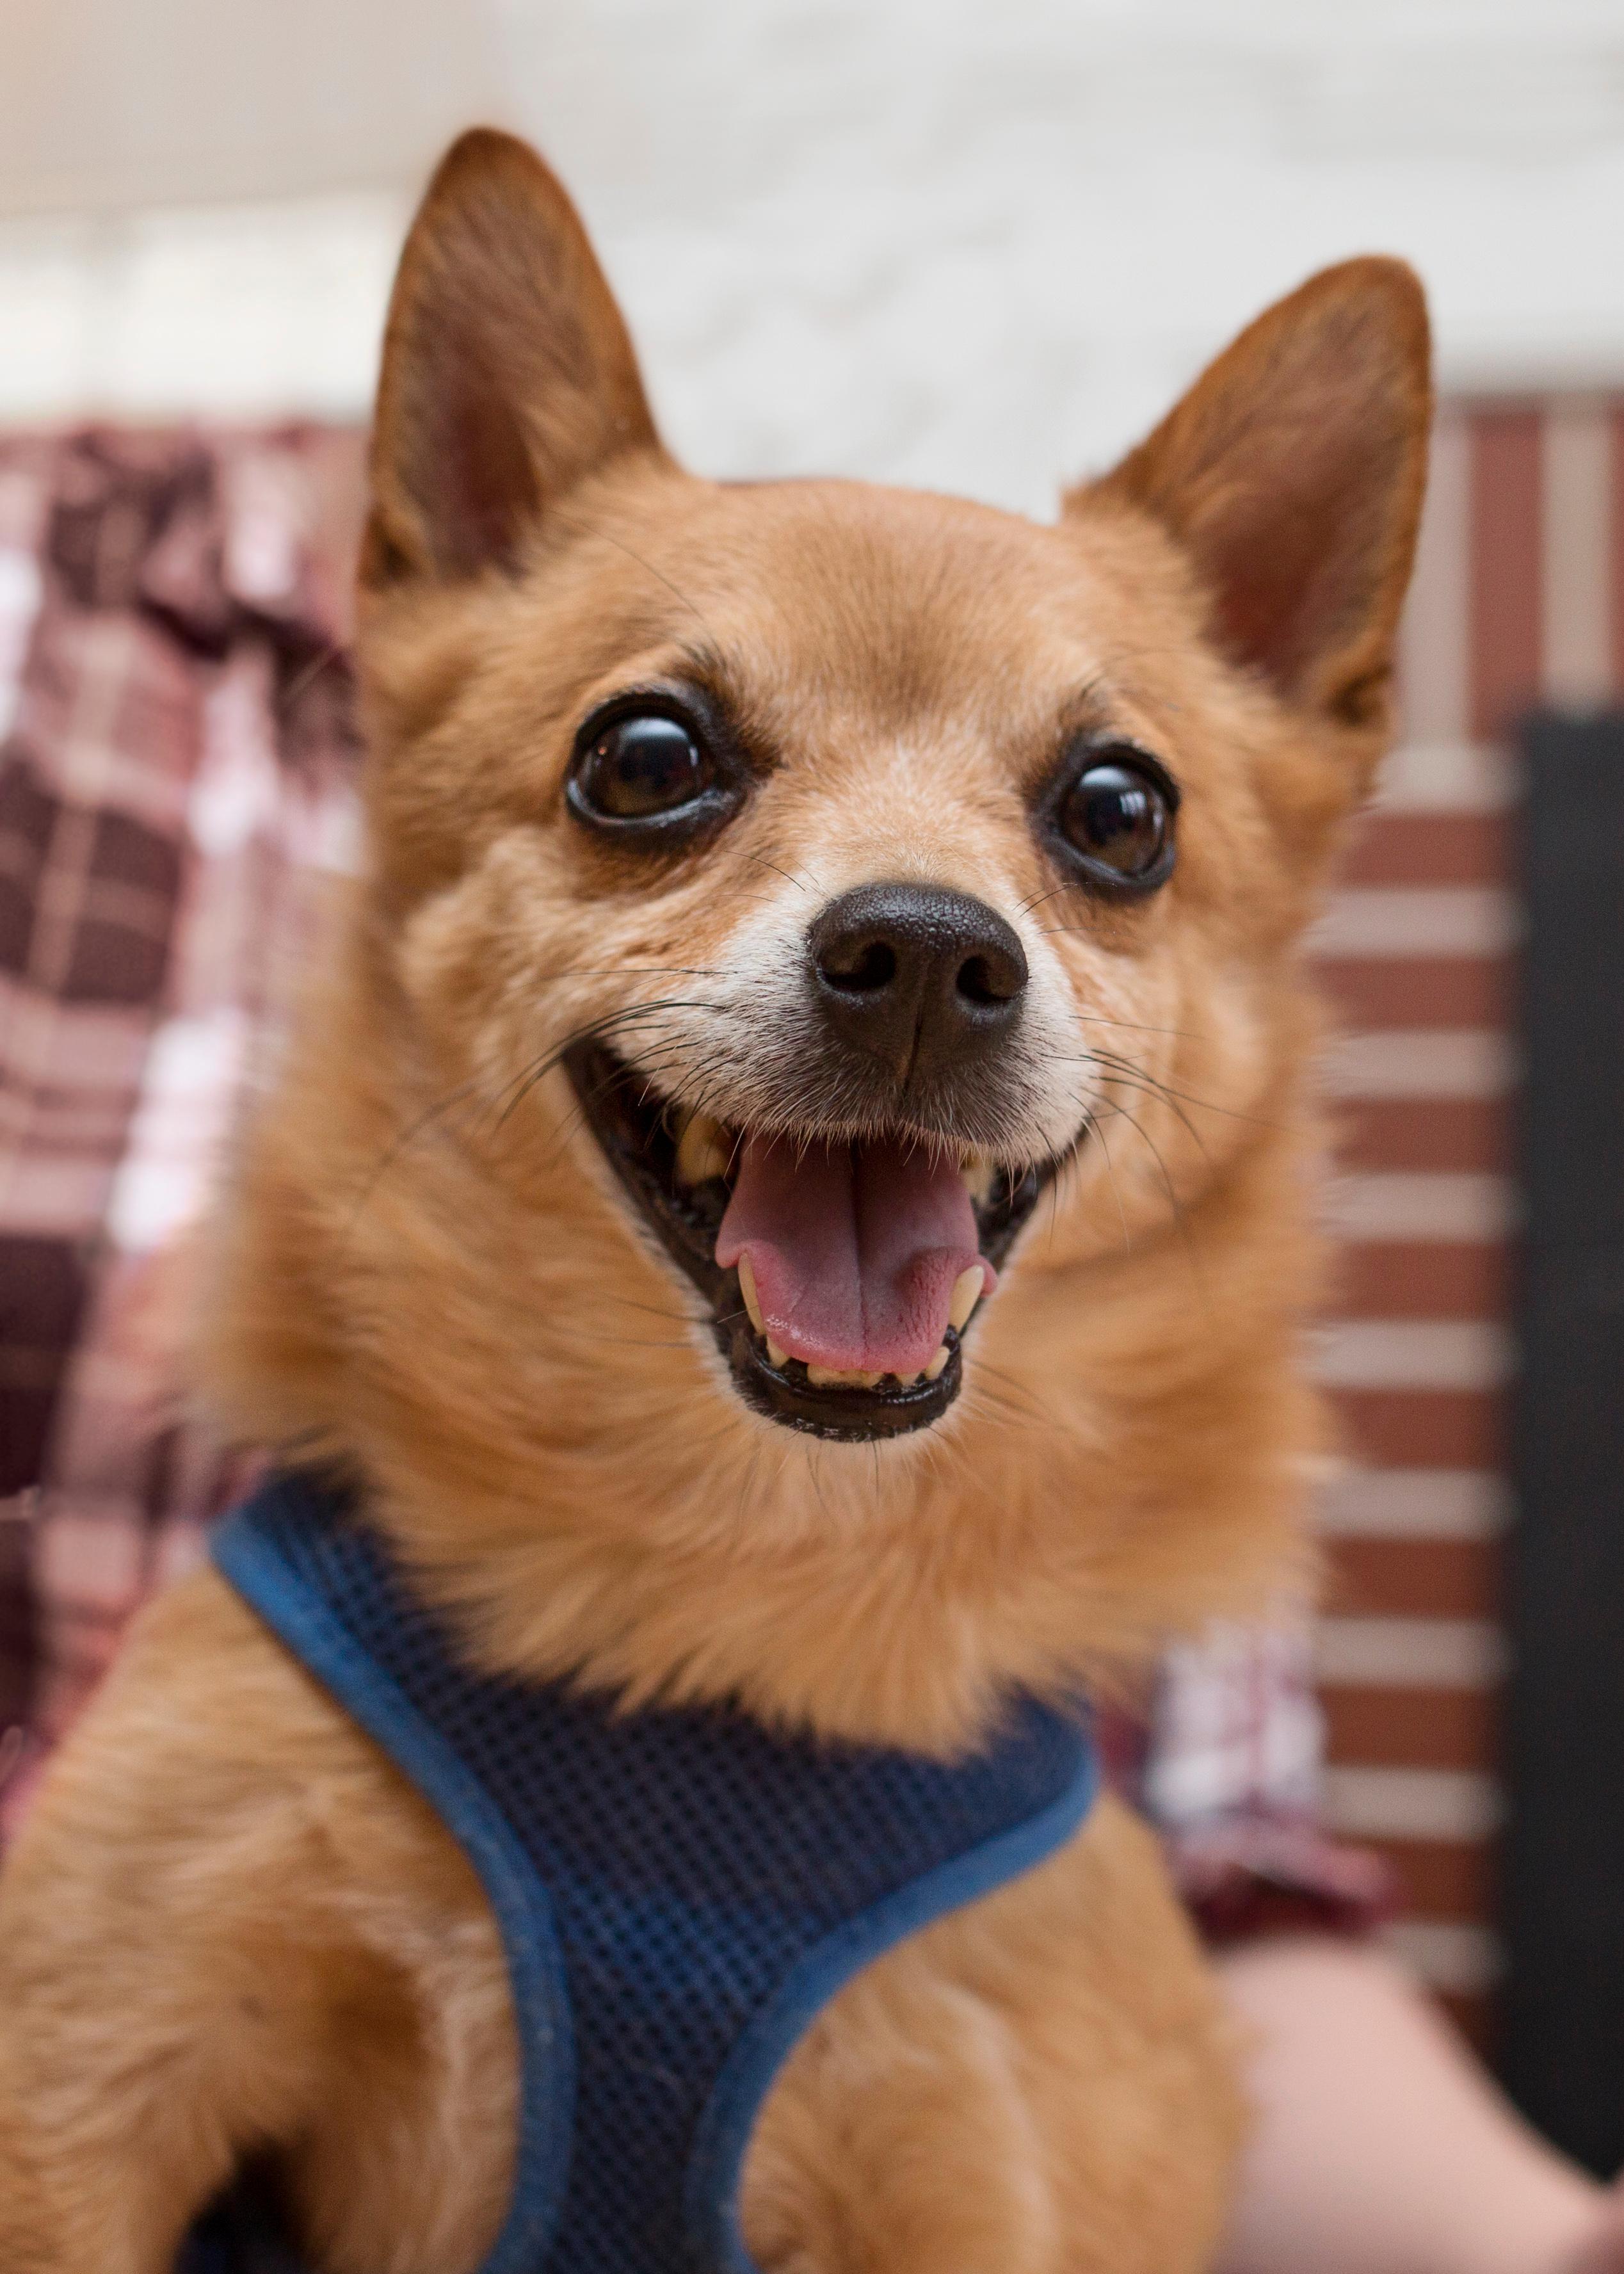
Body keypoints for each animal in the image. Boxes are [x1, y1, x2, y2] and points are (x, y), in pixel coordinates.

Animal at [0, 137, 1419, 2274]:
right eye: (645, 759)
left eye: (1117, 810)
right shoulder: (90, 2081)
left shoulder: (971, 2182)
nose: (924, 953)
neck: (727, 1588)